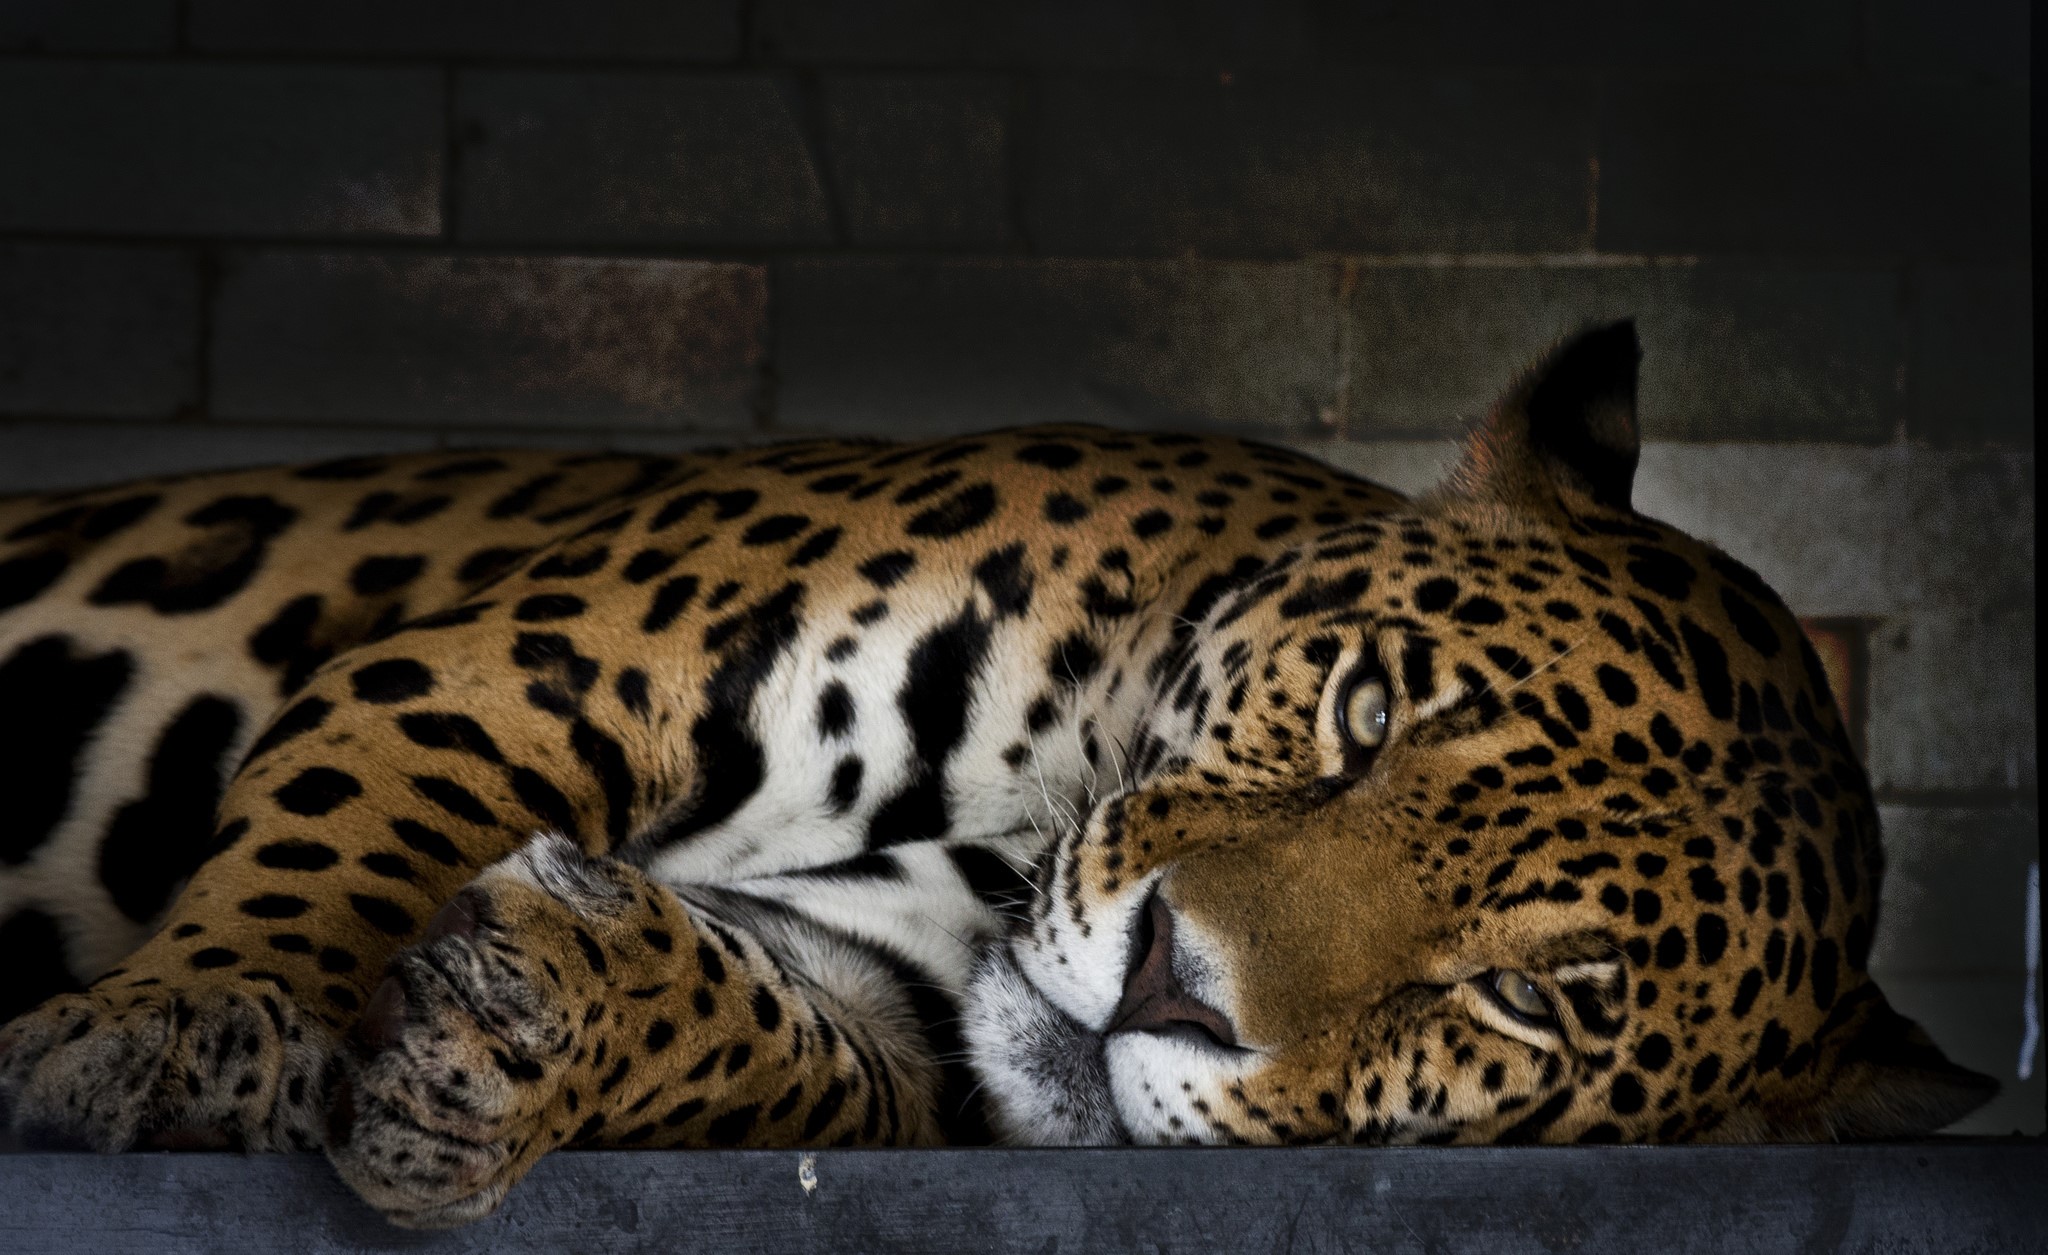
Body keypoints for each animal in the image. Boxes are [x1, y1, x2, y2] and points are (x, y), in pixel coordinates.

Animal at [0, 321, 1993, 1227]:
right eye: (1366, 714)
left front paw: (518, 1024)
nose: (1175, 982)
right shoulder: (527, 665)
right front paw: (189, 1033)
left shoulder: (880, 1003)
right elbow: (338, 851)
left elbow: (774, 1052)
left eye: (1528, 1000)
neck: (1031, 797)